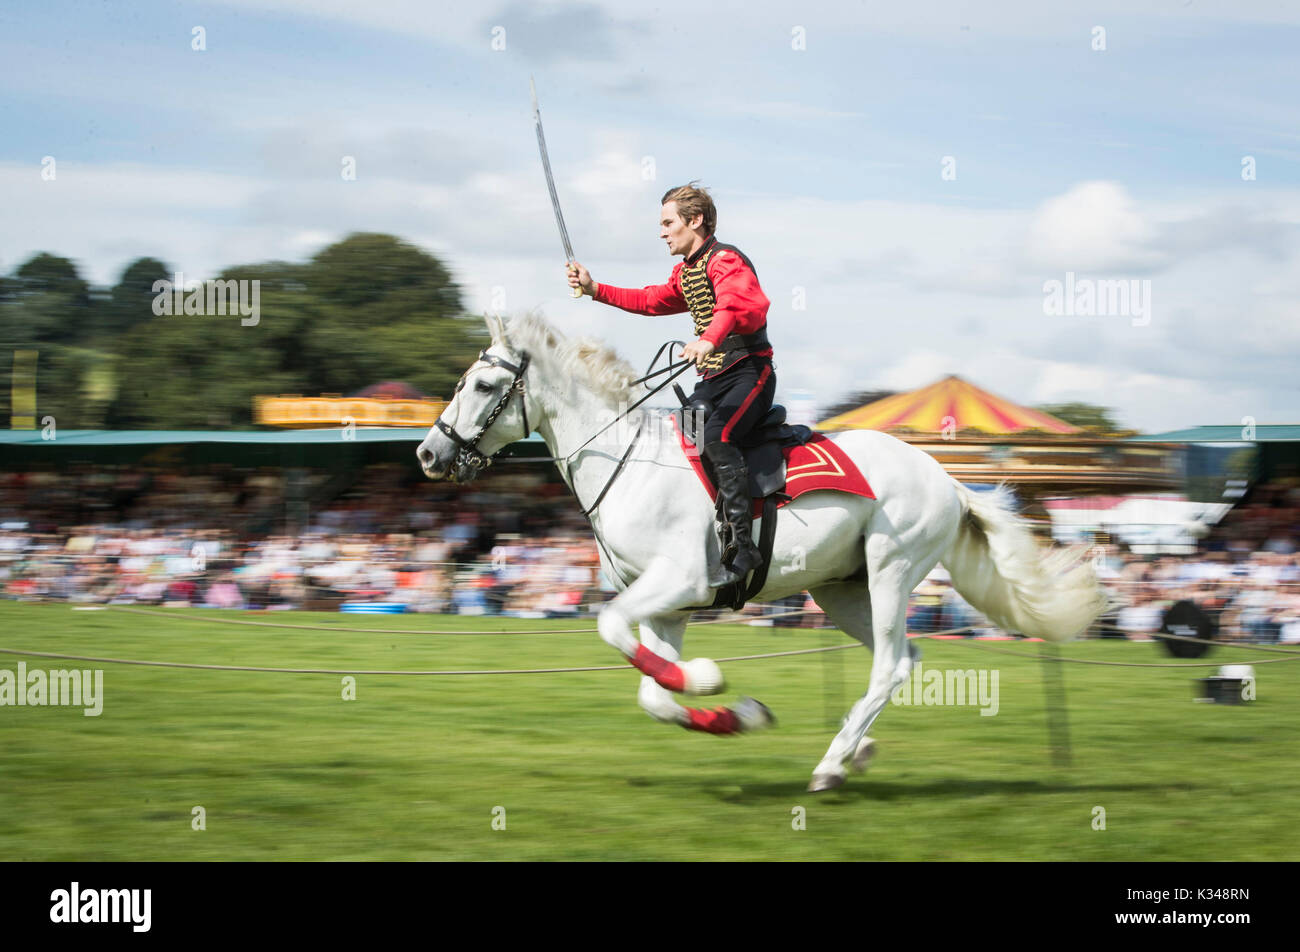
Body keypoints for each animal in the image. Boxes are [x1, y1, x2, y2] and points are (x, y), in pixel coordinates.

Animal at [418, 316, 1107, 790]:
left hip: (890, 572)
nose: (429, 453)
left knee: (889, 665)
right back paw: (853, 750)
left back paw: (830, 766)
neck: (626, 461)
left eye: (484, 384)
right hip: (841, 590)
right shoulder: (667, 608)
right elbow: (654, 694)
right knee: (904, 659)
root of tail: (950, 481)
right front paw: (738, 715)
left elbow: (612, 627)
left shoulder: (680, 583)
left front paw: (709, 679)